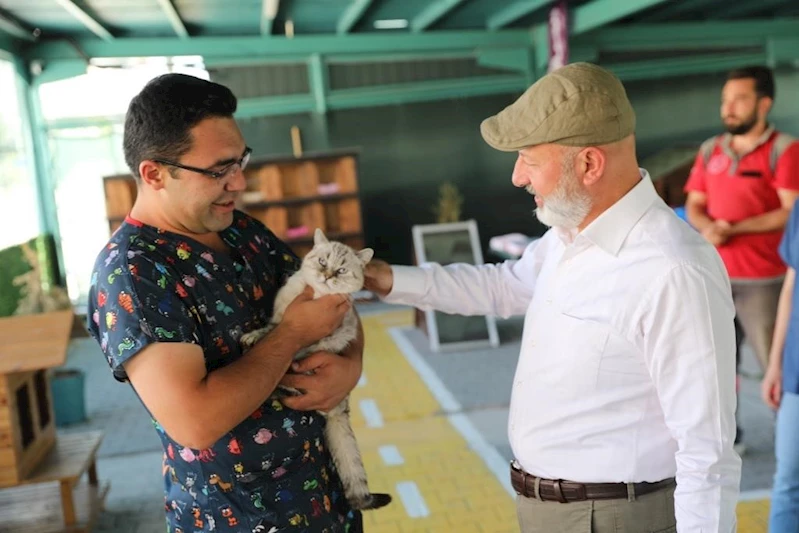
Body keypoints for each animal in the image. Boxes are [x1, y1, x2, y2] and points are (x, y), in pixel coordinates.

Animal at [239, 229, 392, 512]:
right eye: (322, 262)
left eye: (341, 270)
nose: (327, 275)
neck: (316, 294)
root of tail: (340, 410)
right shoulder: (279, 317)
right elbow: (271, 328)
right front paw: (253, 335)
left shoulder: (327, 336)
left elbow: (284, 341)